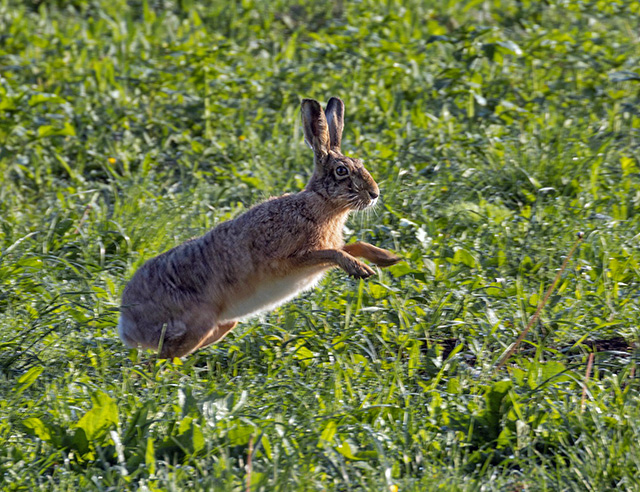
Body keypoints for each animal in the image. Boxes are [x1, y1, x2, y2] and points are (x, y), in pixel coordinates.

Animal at [118, 97, 401, 359]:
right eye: (342, 171)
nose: (374, 194)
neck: (320, 204)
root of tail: (128, 324)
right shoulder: (290, 260)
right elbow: (334, 253)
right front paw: (360, 270)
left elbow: (351, 246)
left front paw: (387, 258)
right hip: (196, 325)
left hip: (218, 327)